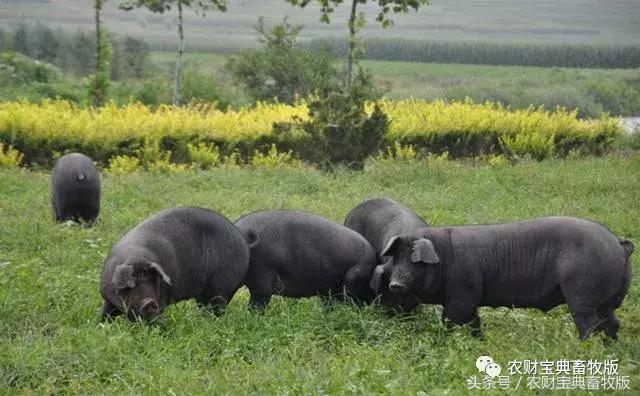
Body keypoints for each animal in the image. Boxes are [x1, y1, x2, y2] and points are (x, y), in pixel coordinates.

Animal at [100, 207, 250, 322]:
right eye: (132, 285)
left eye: (151, 280)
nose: (150, 302)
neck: (136, 256)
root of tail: (243, 241)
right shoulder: (108, 297)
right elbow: (106, 312)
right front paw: (102, 326)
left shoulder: (162, 296)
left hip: (223, 286)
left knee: (218, 307)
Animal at [380, 217, 636, 340]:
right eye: (397, 258)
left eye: (417, 262)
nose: (396, 284)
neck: (445, 258)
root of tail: (619, 244)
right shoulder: (471, 299)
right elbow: (475, 323)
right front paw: (479, 343)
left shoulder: (461, 296)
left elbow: (451, 322)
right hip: (606, 300)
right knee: (612, 323)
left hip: (582, 295)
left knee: (589, 324)